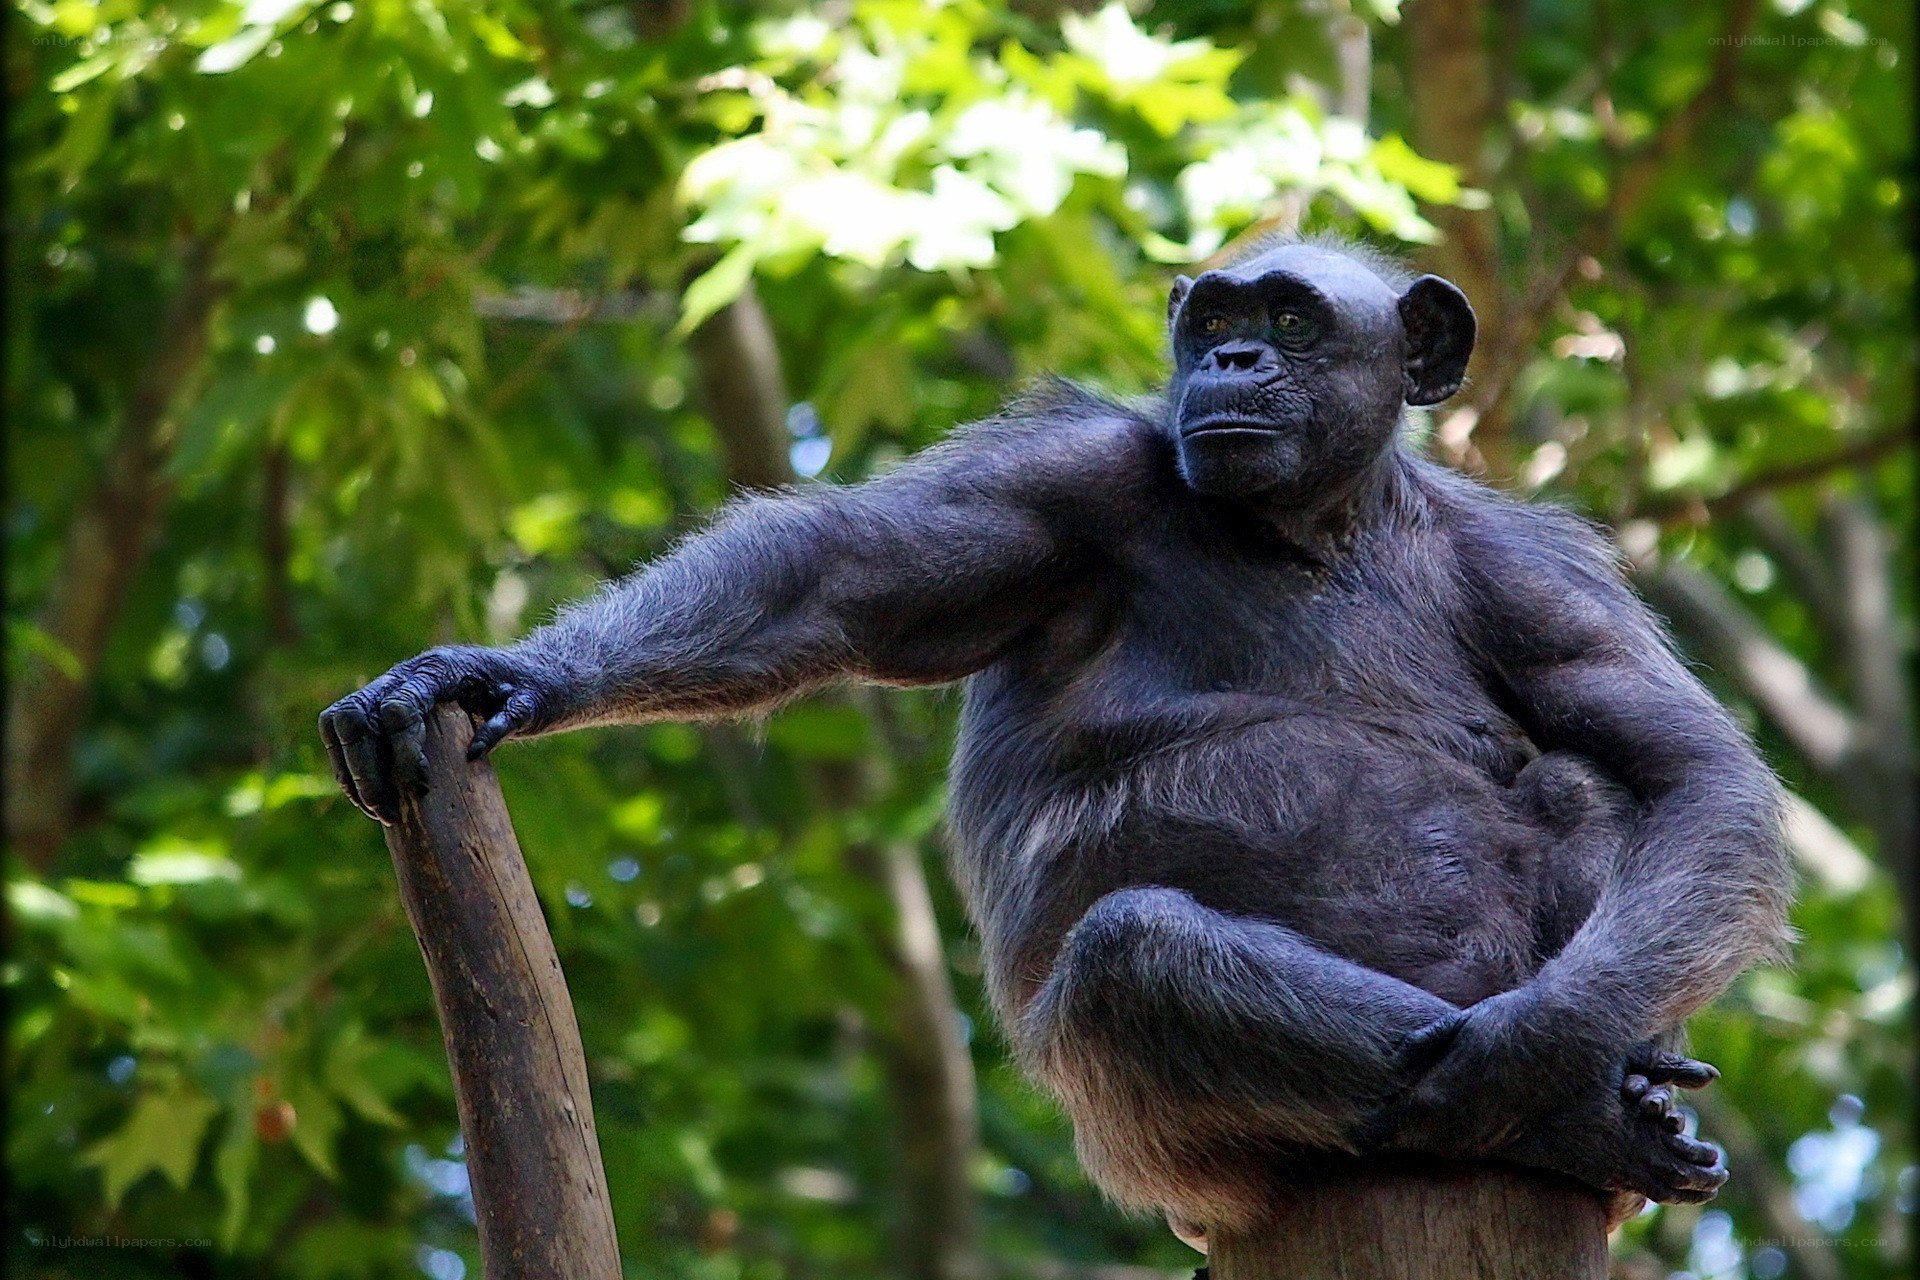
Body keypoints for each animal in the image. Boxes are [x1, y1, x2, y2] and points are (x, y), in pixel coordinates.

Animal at [322, 236, 1792, 1237]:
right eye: (1217, 318)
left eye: (1293, 318)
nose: (1234, 361)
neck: (1317, 528)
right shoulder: (1056, 485)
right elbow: (825, 575)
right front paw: (490, 674)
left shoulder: (1541, 578)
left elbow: (1691, 769)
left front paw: (1541, 1044)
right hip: (1171, 1164)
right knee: (1139, 959)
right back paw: (1584, 1119)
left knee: (1588, 790)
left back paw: (1585, 1099)